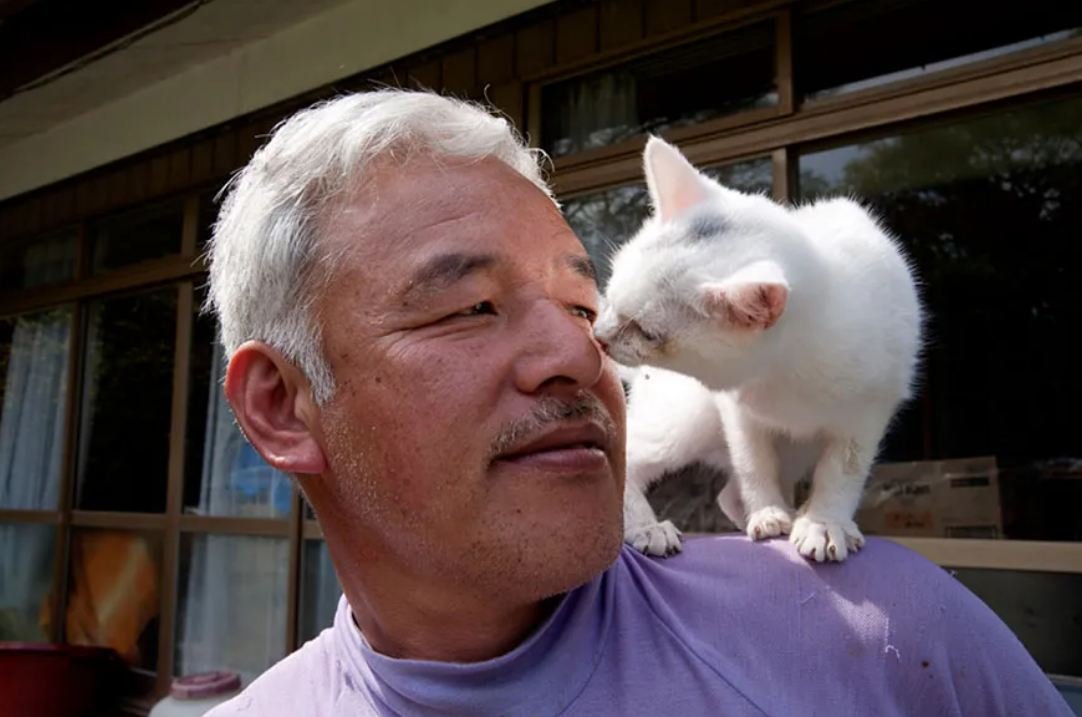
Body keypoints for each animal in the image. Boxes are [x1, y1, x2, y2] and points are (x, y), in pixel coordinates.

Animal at [601, 137, 921, 562]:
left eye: (648, 334)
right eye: (610, 296)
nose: (599, 335)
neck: (787, 367)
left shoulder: (870, 409)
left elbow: (843, 468)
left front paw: (824, 521)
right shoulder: (736, 409)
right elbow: (753, 461)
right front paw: (768, 511)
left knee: (727, 494)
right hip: (685, 420)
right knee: (630, 456)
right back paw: (648, 527)